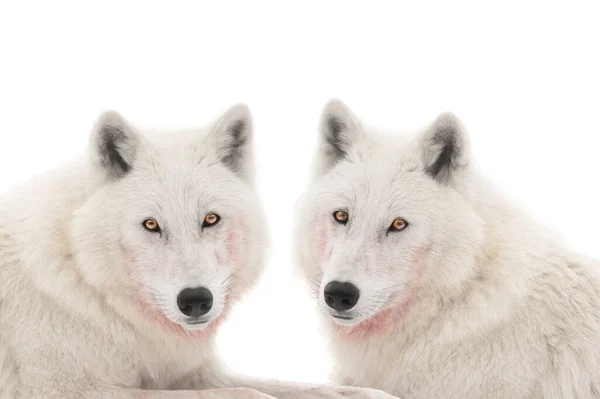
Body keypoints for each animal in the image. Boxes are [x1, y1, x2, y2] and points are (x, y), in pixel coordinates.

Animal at [0, 105, 396, 399]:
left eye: (210, 219)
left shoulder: (189, 371)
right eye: (151, 225)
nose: (195, 301)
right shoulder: (65, 390)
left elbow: (314, 388)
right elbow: (247, 393)